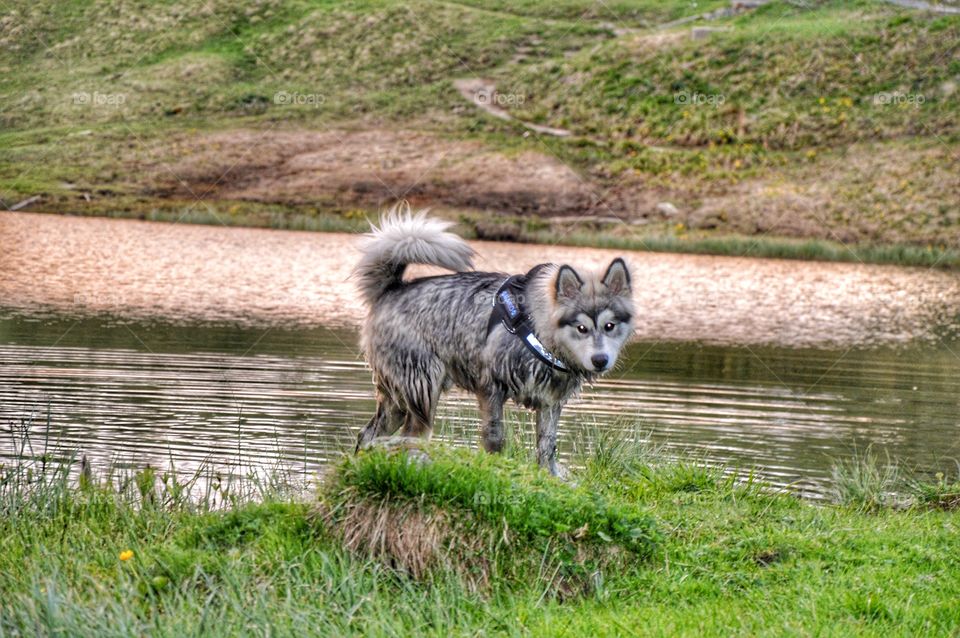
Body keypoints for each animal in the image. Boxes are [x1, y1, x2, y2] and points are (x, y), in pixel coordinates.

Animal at [354, 206, 635, 476]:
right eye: (581, 328)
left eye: (609, 326)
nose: (600, 360)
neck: (537, 329)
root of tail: (391, 289)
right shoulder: (490, 387)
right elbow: (495, 438)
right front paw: (496, 467)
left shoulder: (550, 402)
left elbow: (547, 446)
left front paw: (549, 475)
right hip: (422, 388)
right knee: (412, 435)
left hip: (399, 400)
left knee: (369, 435)